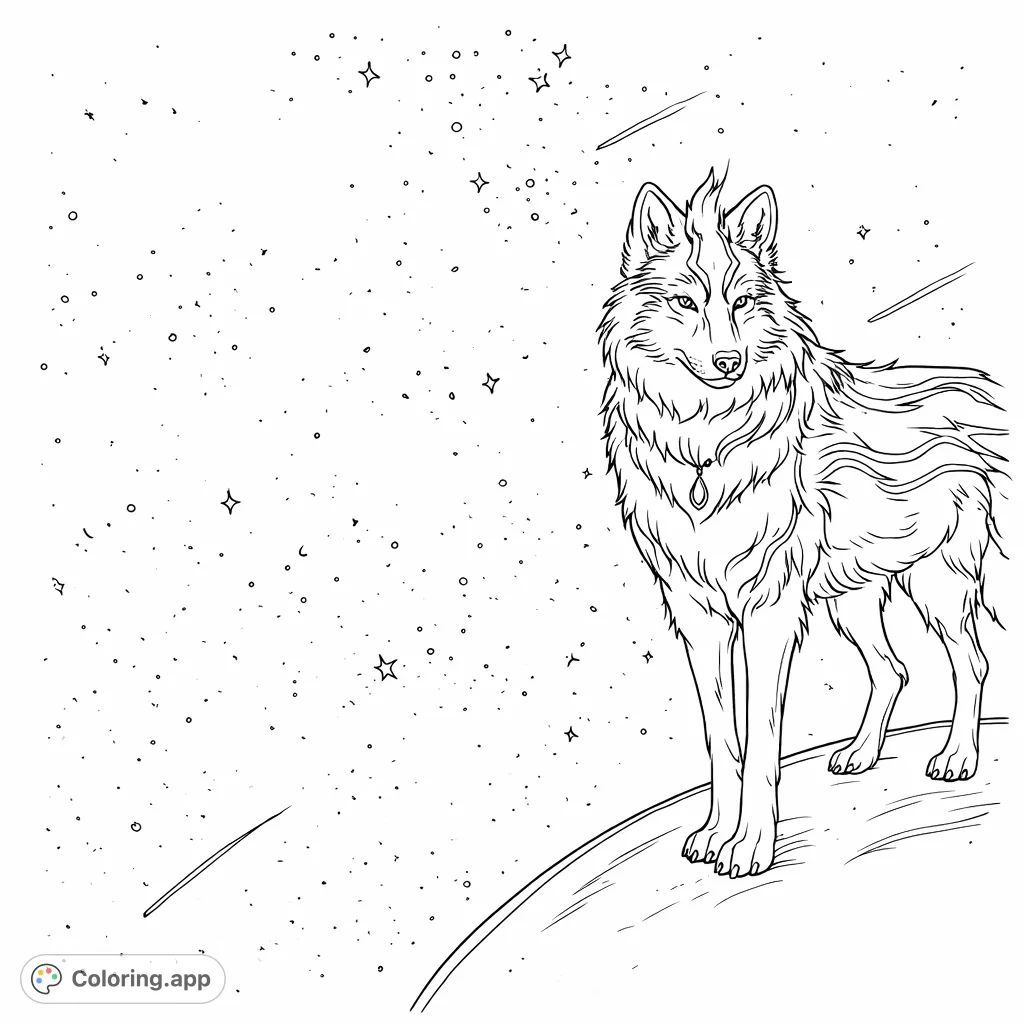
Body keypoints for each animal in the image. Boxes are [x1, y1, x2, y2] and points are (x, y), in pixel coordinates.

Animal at [599, 169, 1006, 879]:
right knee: (893, 669)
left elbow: (762, 740)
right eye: (685, 302)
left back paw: (957, 758)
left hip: (938, 587)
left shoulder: (768, 613)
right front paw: (713, 834)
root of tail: (959, 394)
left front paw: (751, 846)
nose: (729, 362)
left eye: (741, 302)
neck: (708, 446)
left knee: (971, 663)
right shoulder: (700, 618)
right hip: (852, 598)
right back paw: (860, 754)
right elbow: (722, 740)